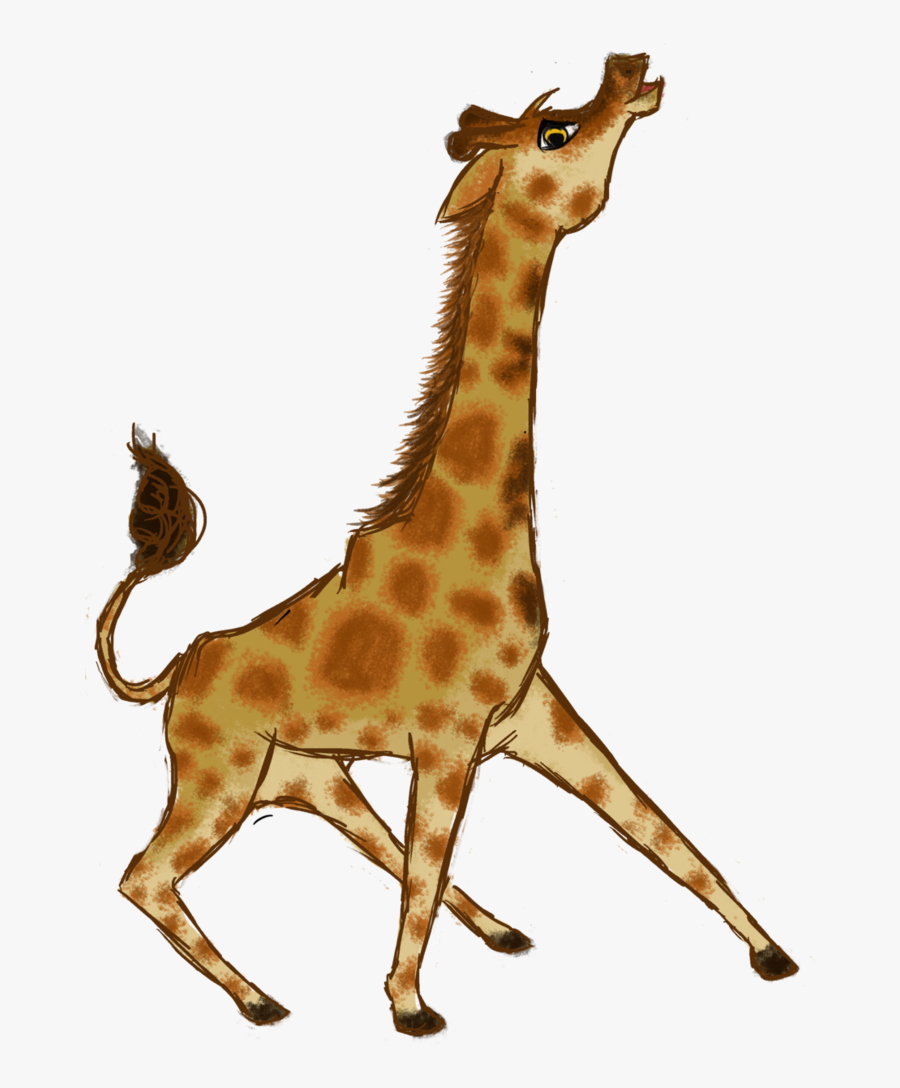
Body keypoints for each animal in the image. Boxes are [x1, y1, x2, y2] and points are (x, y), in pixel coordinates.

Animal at [97, 53, 798, 1036]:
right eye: (555, 131)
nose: (630, 69)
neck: (478, 533)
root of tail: (174, 670)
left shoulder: (534, 716)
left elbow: (664, 834)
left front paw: (773, 953)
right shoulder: (448, 735)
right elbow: (435, 862)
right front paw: (408, 1008)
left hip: (308, 780)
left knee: (376, 850)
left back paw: (497, 933)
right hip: (220, 777)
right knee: (144, 876)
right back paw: (262, 1000)